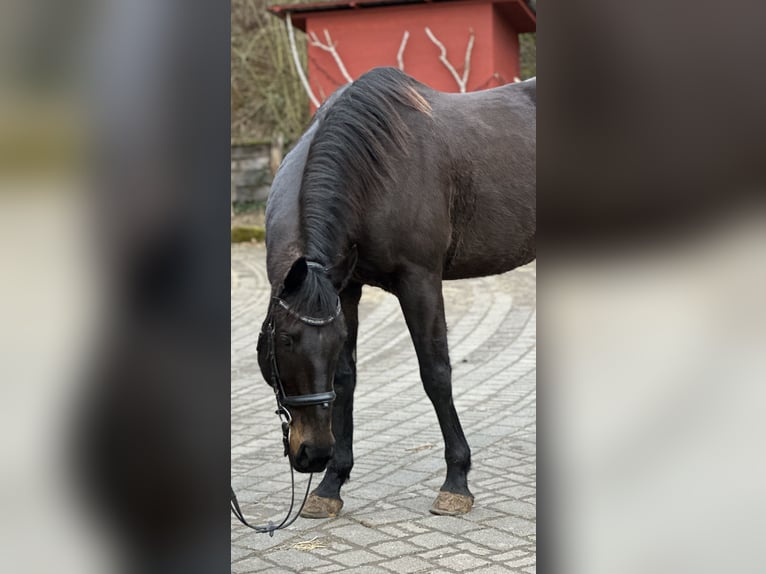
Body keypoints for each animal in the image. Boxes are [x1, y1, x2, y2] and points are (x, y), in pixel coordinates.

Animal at [257, 67, 535, 518]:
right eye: (285, 340)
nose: (313, 454)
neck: (375, 172)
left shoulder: (419, 280)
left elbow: (435, 373)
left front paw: (456, 481)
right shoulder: (346, 288)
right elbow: (346, 378)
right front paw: (331, 484)